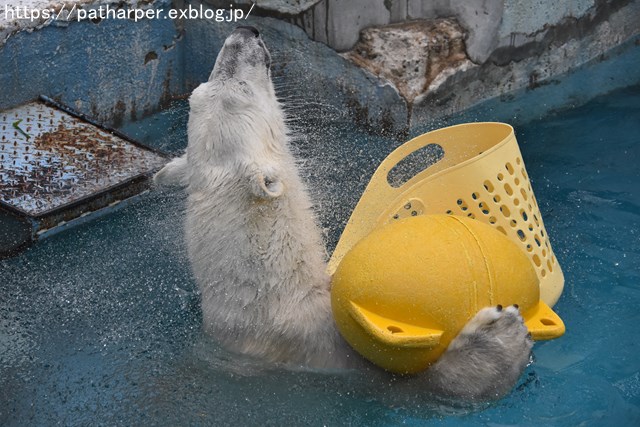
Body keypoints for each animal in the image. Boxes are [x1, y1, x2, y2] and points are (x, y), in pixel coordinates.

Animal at [152, 25, 532, 402]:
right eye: (242, 89)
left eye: (198, 92)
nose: (247, 31)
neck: (277, 294)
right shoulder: (334, 354)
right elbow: (432, 388)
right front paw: (501, 331)